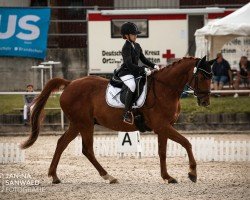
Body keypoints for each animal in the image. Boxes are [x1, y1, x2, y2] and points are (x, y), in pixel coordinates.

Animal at [21, 56, 215, 184]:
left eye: (211, 76)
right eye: (202, 76)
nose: (205, 101)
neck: (164, 89)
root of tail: (69, 84)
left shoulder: (164, 128)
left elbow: (163, 152)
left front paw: (167, 177)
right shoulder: (163, 126)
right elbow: (187, 143)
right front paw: (192, 173)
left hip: (77, 124)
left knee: (62, 143)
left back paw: (54, 176)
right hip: (84, 124)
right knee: (87, 149)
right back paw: (109, 176)